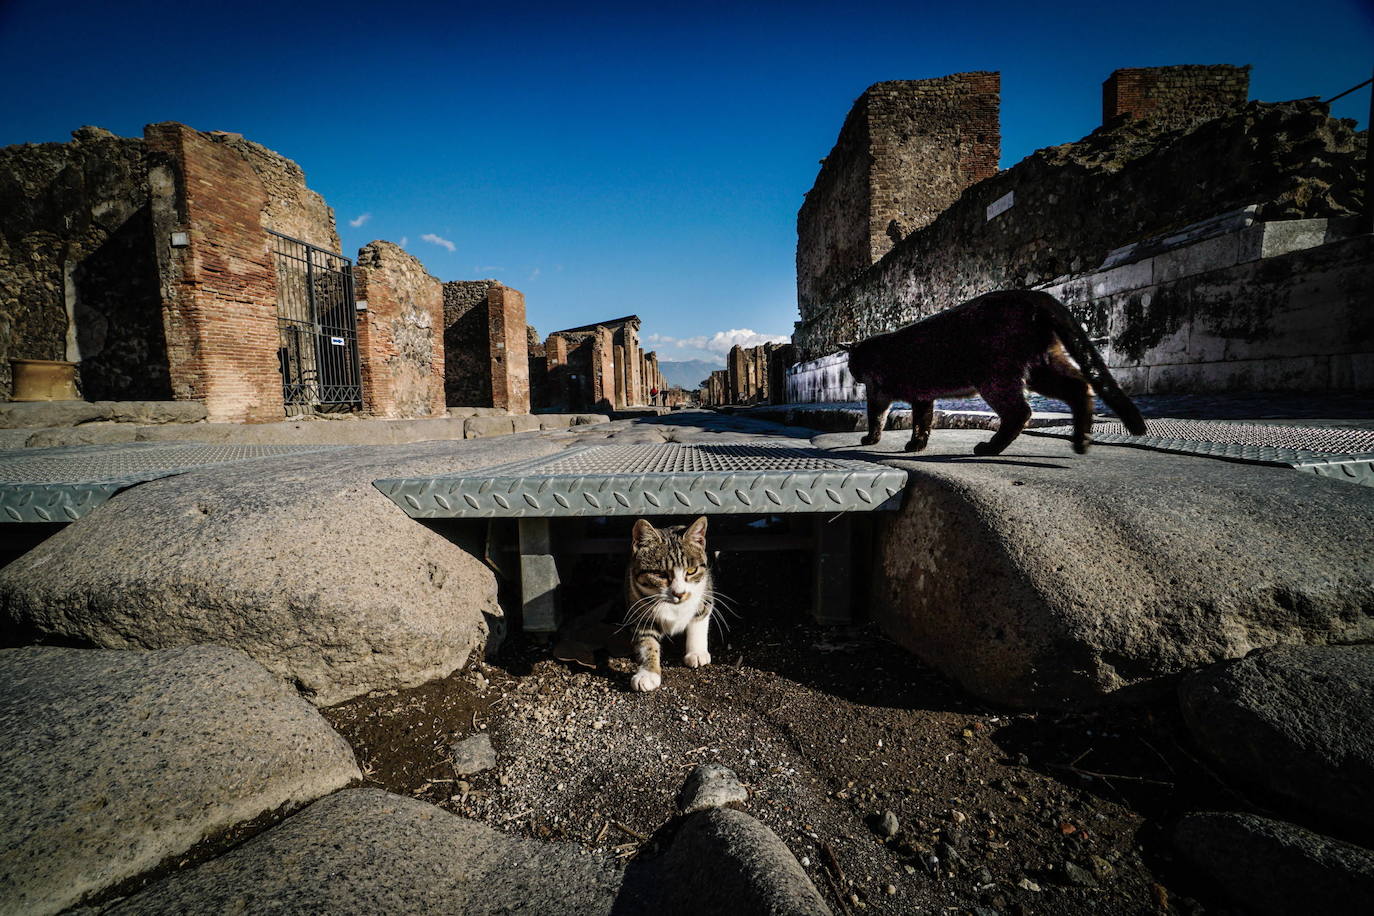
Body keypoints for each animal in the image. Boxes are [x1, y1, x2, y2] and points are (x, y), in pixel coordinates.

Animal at [626, 519, 714, 692]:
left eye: (691, 570)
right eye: (660, 574)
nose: (680, 593)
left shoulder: (705, 588)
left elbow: (699, 617)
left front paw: (697, 652)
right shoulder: (639, 609)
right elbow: (647, 642)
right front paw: (648, 673)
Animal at [846, 289, 1148, 455]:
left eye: (850, 365)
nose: (852, 373)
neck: (870, 350)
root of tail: (1034, 295)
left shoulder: (877, 393)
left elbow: (876, 417)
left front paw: (870, 440)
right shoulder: (922, 397)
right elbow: (923, 421)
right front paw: (917, 444)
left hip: (995, 377)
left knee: (1020, 412)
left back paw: (989, 447)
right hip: (1041, 368)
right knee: (1079, 387)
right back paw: (1081, 440)